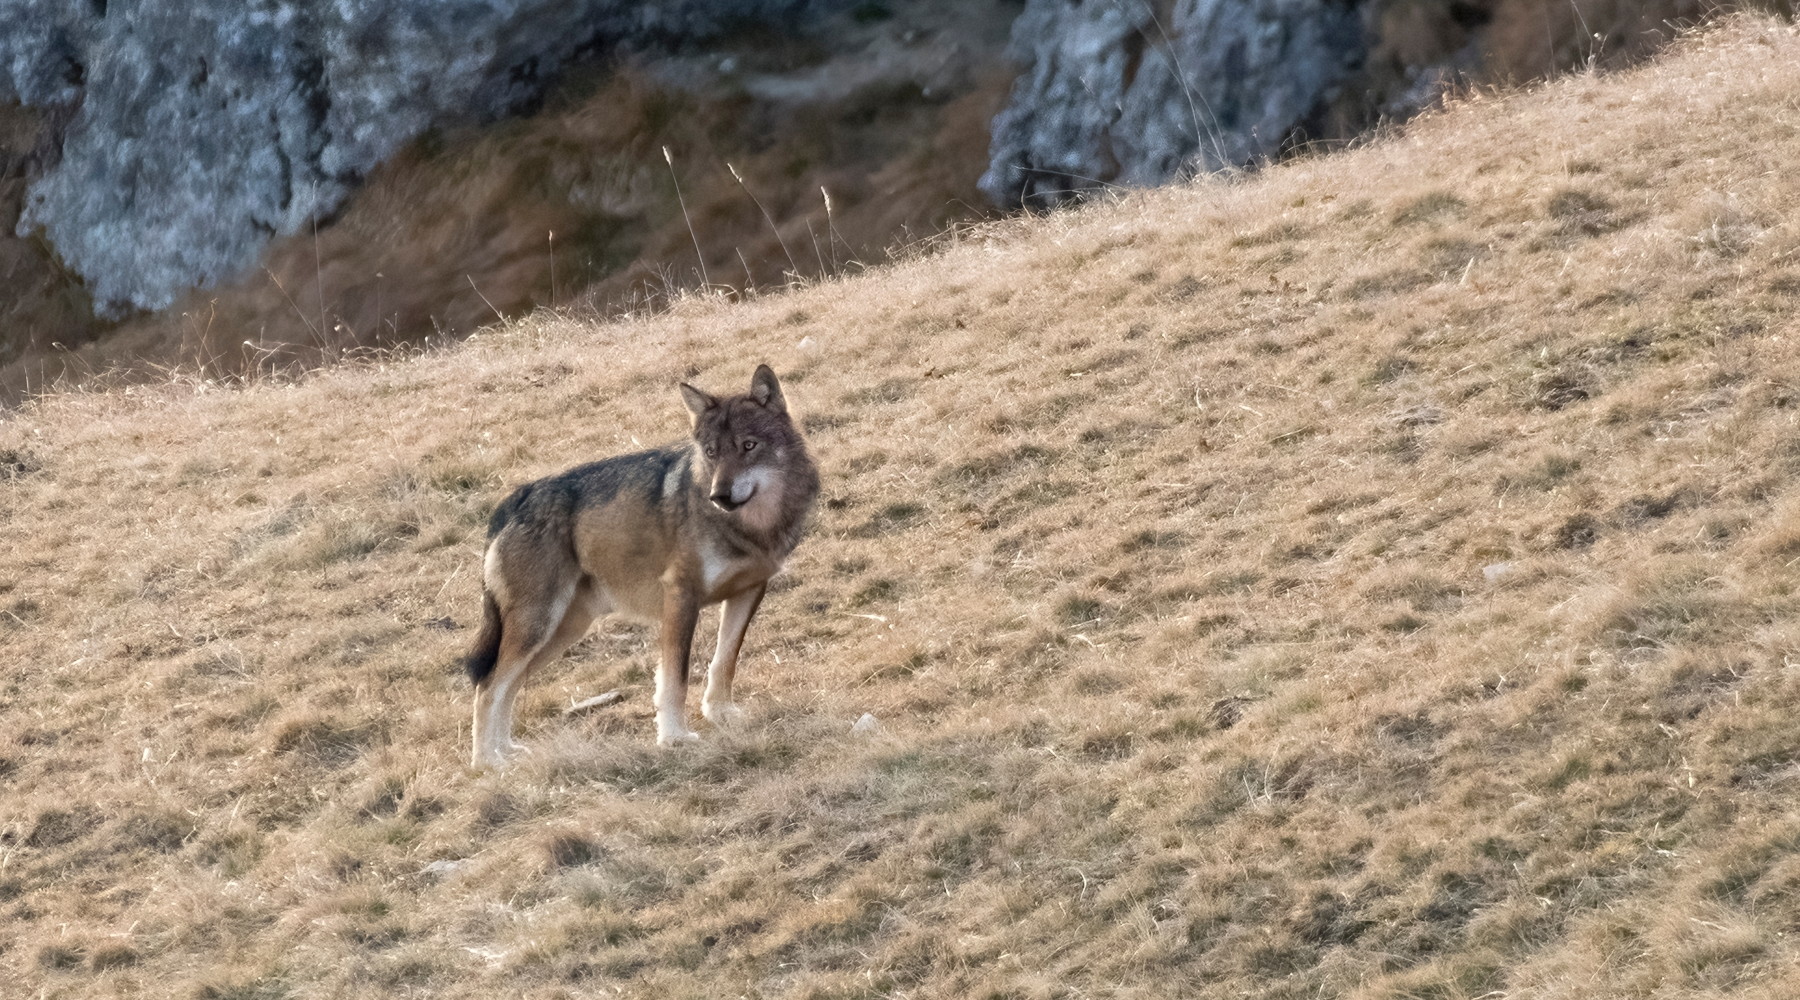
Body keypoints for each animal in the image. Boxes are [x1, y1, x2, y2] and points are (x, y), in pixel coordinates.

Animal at [464, 364, 819, 768]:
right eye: (711, 452)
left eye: (748, 446)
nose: (719, 495)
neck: (751, 527)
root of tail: (513, 499)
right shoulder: (681, 597)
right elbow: (676, 677)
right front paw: (675, 737)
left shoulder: (749, 592)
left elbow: (724, 660)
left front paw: (720, 713)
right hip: (537, 627)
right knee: (488, 686)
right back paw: (487, 763)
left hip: (559, 633)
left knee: (506, 686)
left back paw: (507, 752)